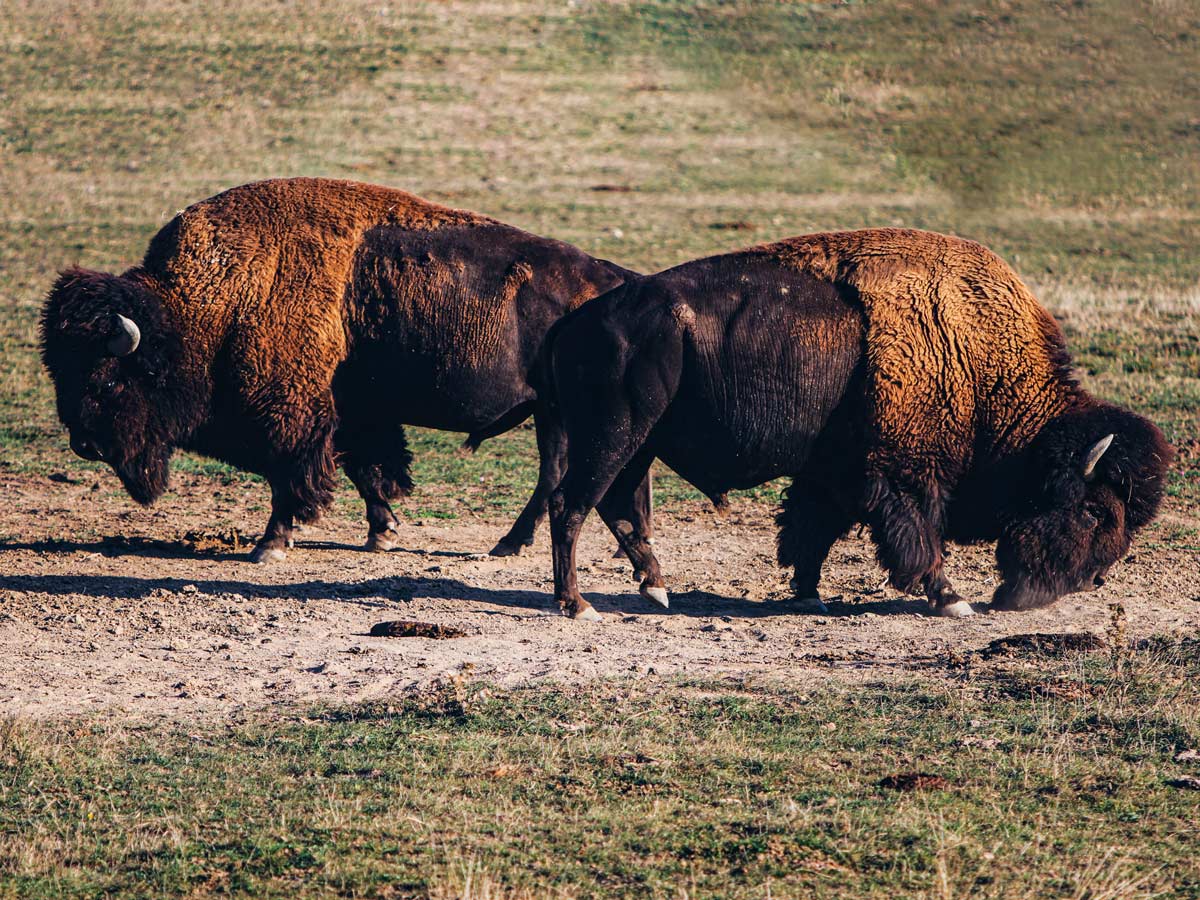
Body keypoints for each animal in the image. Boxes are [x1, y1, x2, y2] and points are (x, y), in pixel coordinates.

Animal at [37, 176, 638, 564]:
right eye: (59, 372)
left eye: (108, 378)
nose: (84, 444)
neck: (211, 303)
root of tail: (615, 281)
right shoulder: (351, 413)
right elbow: (365, 470)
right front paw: (382, 533)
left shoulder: (293, 417)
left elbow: (291, 478)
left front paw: (270, 546)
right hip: (551, 413)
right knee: (558, 473)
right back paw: (516, 543)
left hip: (556, 412)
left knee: (554, 474)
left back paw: (509, 544)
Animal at [547, 226, 1171, 619]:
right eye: (1093, 511)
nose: (1092, 579)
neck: (976, 360)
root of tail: (578, 321)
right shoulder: (902, 475)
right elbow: (918, 538)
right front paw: (953, 600)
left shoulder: (834, 473)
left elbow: (811, 530)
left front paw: (808, 595)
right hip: (616, 435)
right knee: (571, 503)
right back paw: (578, 605)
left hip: (639, 444)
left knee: (616, 507)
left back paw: (655, 590)